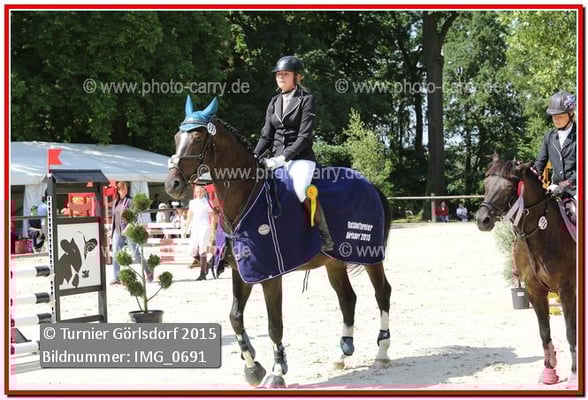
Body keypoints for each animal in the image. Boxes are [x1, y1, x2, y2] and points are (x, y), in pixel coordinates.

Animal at [165, 97, 393, 388]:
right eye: (176, 137)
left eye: (196, 138)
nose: (172, 184)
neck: (246, 197)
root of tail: (371, 186)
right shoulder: (242, 271)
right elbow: (235, 318)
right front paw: (253, 367)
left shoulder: (270, 274)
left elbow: (275, 325)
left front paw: (276, 372)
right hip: (334, 263)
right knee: (347, 299)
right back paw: (341, 355)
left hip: (370, 255)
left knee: (382, 293)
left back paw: (382, 353)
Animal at [475, 154, 576, 385]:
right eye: (486, 184)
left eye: (508, 187)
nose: (482, 220)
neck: (541, 231)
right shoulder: (534, 290)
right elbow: (544, 331)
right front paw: (549, 371)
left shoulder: (567, 290)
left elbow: (570, 331)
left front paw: (575, 375)